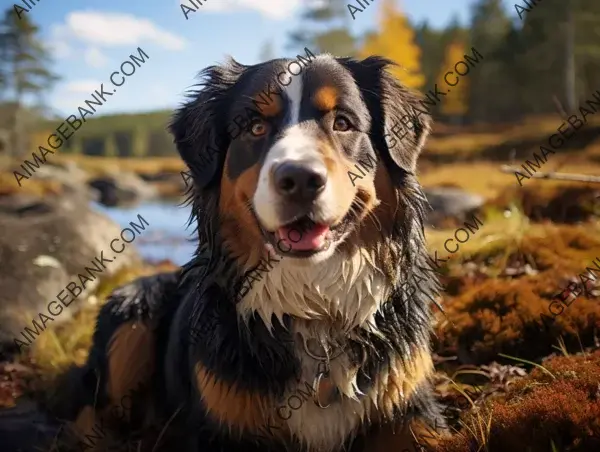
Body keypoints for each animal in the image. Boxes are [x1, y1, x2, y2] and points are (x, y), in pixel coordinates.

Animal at [55, 53, 446, 452]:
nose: (300, 179)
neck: (315, 310)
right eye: (256, 128)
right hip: (129, 318)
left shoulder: (411, 407)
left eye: (342, 123)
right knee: (89, 411)